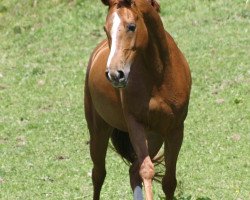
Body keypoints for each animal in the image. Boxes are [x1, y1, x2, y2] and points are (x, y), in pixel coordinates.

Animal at [84, 0, 191, 199]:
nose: (114, 74)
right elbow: (147, 170)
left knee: (132, 170)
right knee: (98, 174)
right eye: (106, 28)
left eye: (131, 26)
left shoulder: (175, 129)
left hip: (155, 135)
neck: (159, 75)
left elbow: (169, 181)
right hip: (99, 130)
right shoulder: (136, 125)